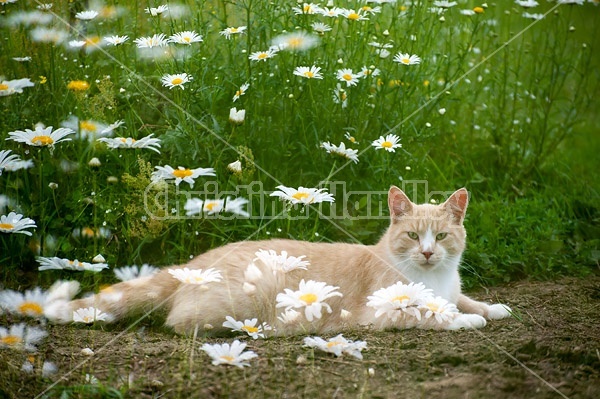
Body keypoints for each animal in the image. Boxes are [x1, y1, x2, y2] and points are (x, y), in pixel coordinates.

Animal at [44, 187, 510, 334]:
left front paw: (491, 308)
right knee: (179, 321)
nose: (428, 252)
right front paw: (466, 319)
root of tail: (192, 263)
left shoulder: (451, 289)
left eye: (442, 237)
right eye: (413, 236)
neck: (435, 278)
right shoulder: (379, 314)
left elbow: (463, 299)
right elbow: (430, 313)